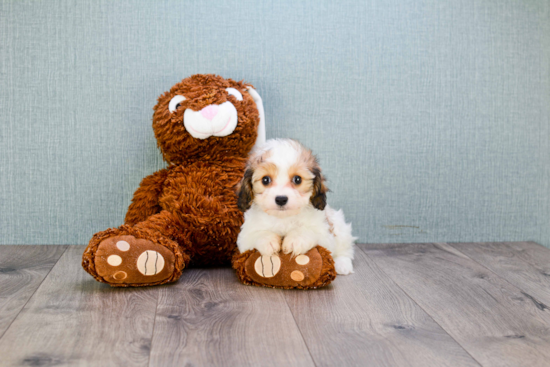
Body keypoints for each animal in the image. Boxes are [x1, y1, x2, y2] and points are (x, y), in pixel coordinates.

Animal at [236, 139, 358, 274]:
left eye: (297, 179)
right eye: (265, 180)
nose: (281, 199)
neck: (283, 218)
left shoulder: (325, 235)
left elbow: (309, 231)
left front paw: (296, 239)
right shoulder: (244, 238)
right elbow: (256, 234)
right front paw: (268, 241)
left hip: (340, 227)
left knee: (345, 249)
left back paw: (342, 263)